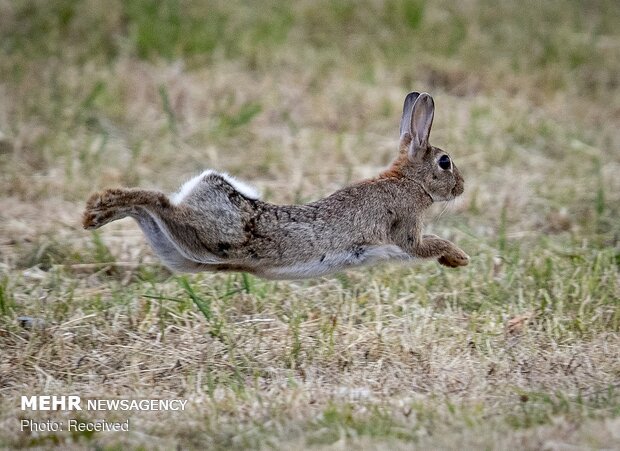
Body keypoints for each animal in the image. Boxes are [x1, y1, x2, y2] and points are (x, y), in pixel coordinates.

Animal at [83, 92, 470, 278]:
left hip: (182, 252)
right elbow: (427, 244)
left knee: (149, 211)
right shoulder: (406, 229)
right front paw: (459, 257)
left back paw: (98, 211)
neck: (408, 181)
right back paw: (97, 207)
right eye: (445, 162)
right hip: (206, 235)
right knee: (159, 201)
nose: (462, 187)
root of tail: (207, 185)